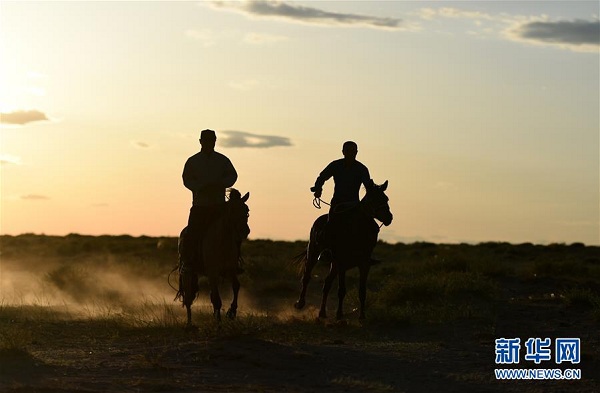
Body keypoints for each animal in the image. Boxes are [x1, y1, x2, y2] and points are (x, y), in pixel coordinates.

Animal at [175, 188, 250, 326]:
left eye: (246, 210)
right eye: (232, 211)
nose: (245, 231)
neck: (222, 241)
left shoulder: (230, 270)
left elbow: (236, 286)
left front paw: (232, 312)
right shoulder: (212, 272)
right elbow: (217, 299)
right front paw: (219, 322)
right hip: (188, 273)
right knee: (188, 298)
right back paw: (189, 324)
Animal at [294, 180, 394, 318]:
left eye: (386, 198)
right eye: (372, 199)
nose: (389, 217)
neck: (356, 230)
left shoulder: (364, 264)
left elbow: (362, 291)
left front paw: (362, 316)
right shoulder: (342, 263)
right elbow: (341, 290)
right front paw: (339, 315)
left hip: (334, 264)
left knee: (327, 284)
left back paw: (322, 313)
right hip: (314, 254)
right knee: (306, 277)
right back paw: (300, 303)